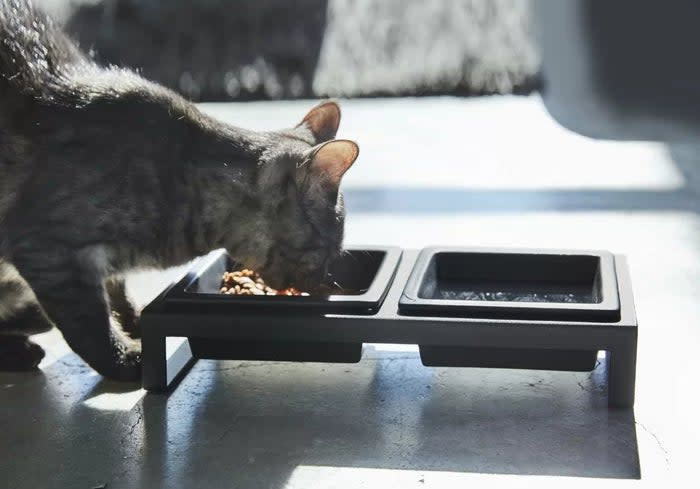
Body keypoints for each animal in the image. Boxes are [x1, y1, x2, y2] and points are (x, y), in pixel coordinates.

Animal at [0, 0, 358, 380]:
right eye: (328, 248)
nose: (325, 283)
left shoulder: (96, 268)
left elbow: (118, 296)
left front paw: (136, 323)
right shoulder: (49, 252)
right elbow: (90, 326)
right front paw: (128, 360)